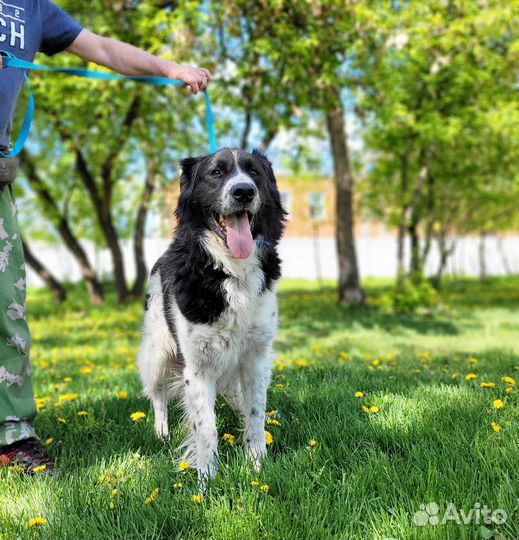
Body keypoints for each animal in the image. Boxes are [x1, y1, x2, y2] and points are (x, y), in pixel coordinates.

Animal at [136, 147, 286, 480]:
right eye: (216, 173)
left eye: (254, 172)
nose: (243, 191)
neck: (230, 269)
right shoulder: (197, 368)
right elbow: (206, 427)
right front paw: (207, 480)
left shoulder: (256, 357)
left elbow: (255, 413)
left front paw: (257, 465)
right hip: (157, 351)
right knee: (158, 395)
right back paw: (162, 432)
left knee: (239, 399)